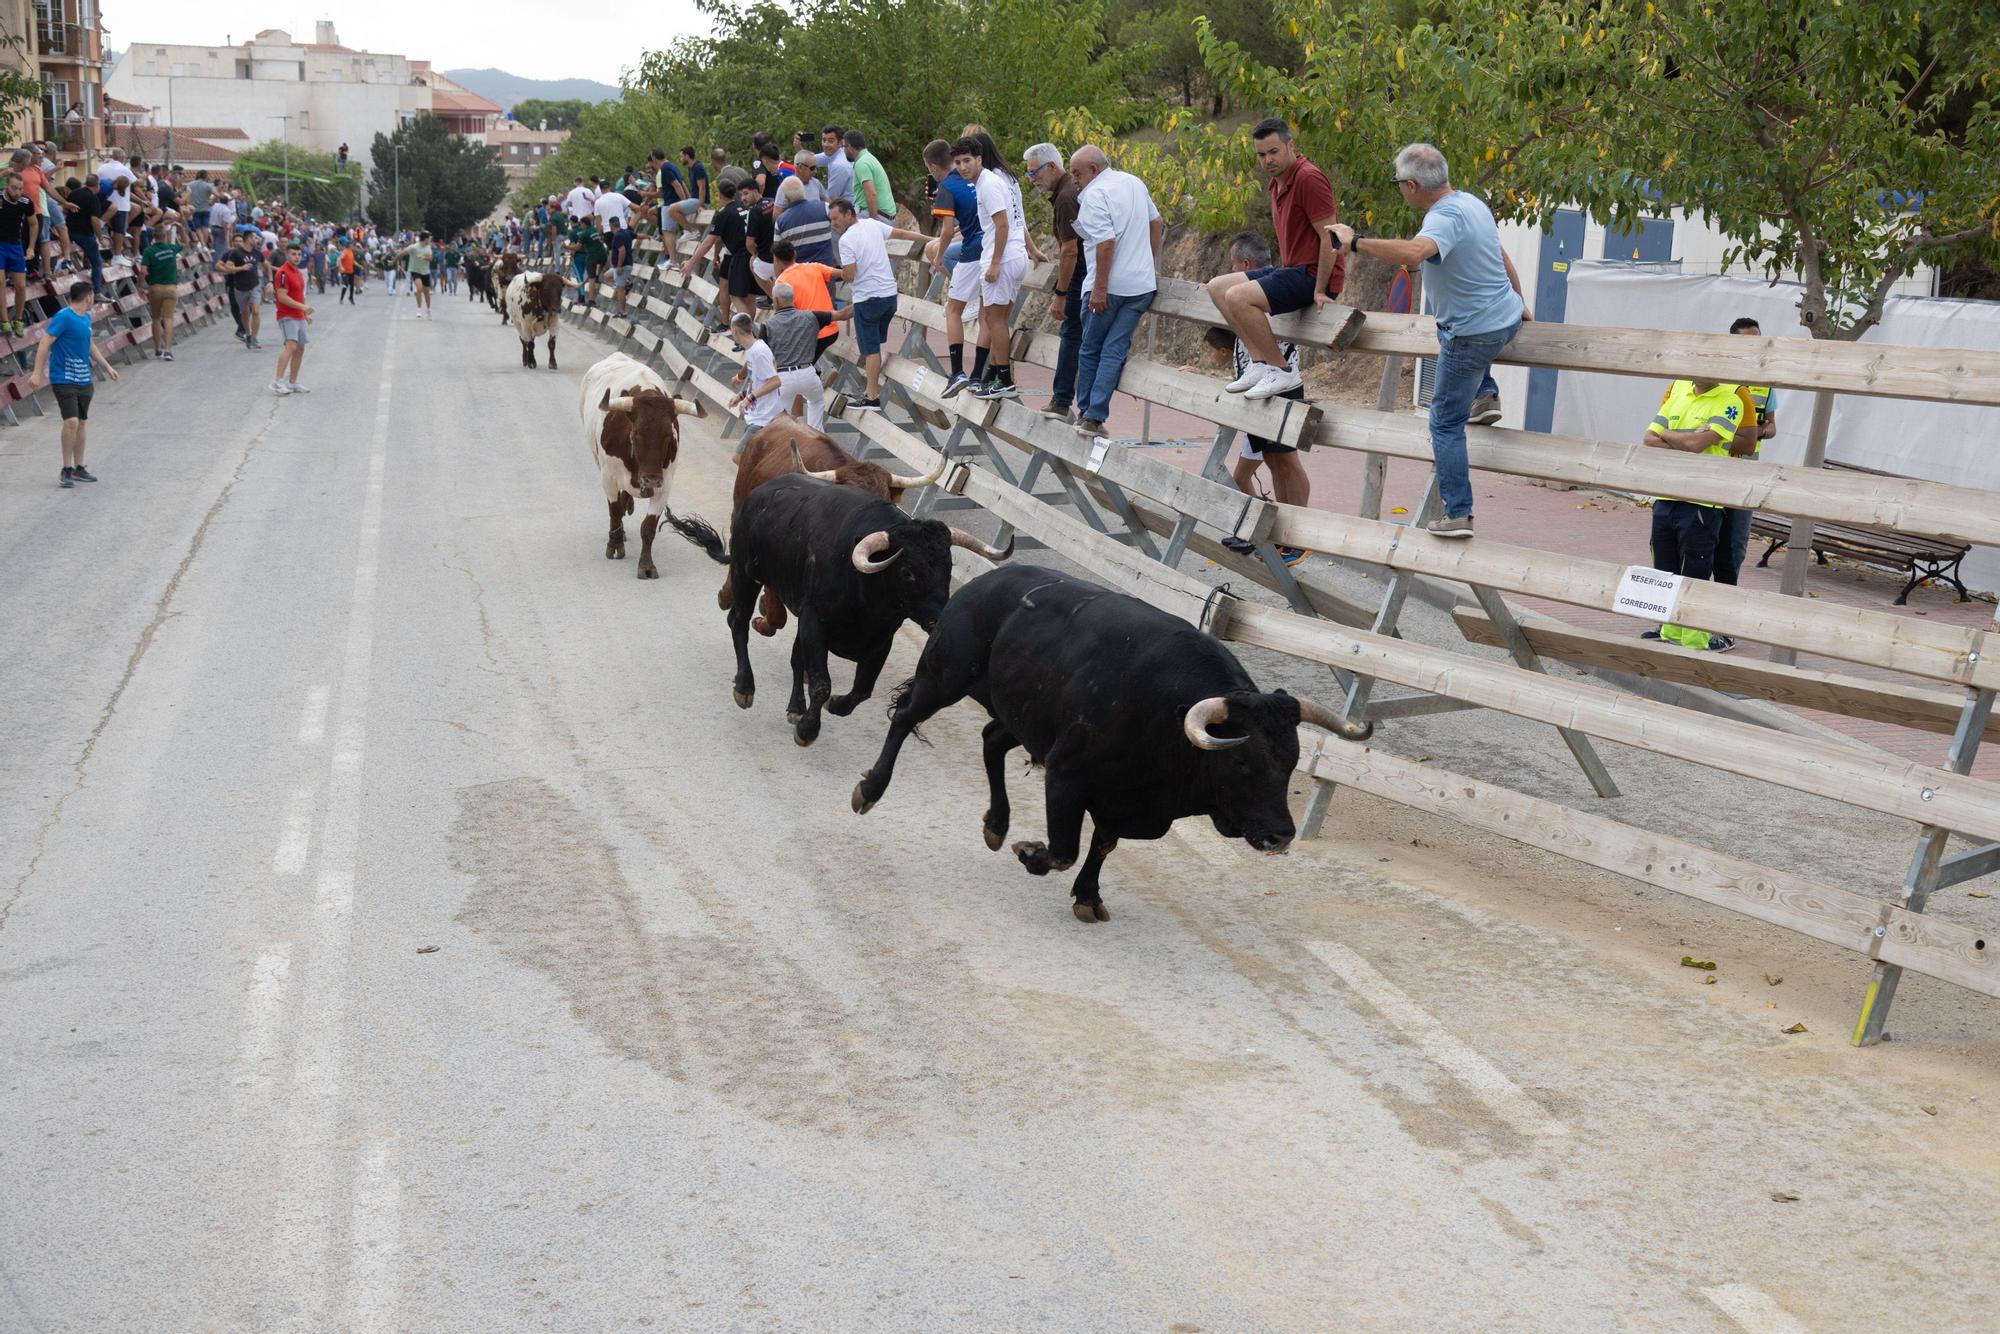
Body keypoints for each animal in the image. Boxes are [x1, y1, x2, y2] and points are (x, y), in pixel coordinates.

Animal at [580, 352, 704, 576]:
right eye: (636, 433)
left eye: (668, 435)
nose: (651, 479)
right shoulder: (608, 479)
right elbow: (614, 512)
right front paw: (615, 545)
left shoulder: (665, 485)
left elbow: (648, 527)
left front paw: (646, 566)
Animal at [844, 564, 1376, 920]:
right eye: (1242, 761)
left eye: (1291, 762)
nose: (1282, 835)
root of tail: (983, 581)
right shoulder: (1066, 778)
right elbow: (1064, 849)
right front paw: (1031, 854)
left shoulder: (1128, 805)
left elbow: (1103, 843)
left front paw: (1088, 896)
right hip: (946, 675)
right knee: (905, 717)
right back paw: (871, 789)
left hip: (1021, 714)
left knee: (992, 739)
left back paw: (996, 824)